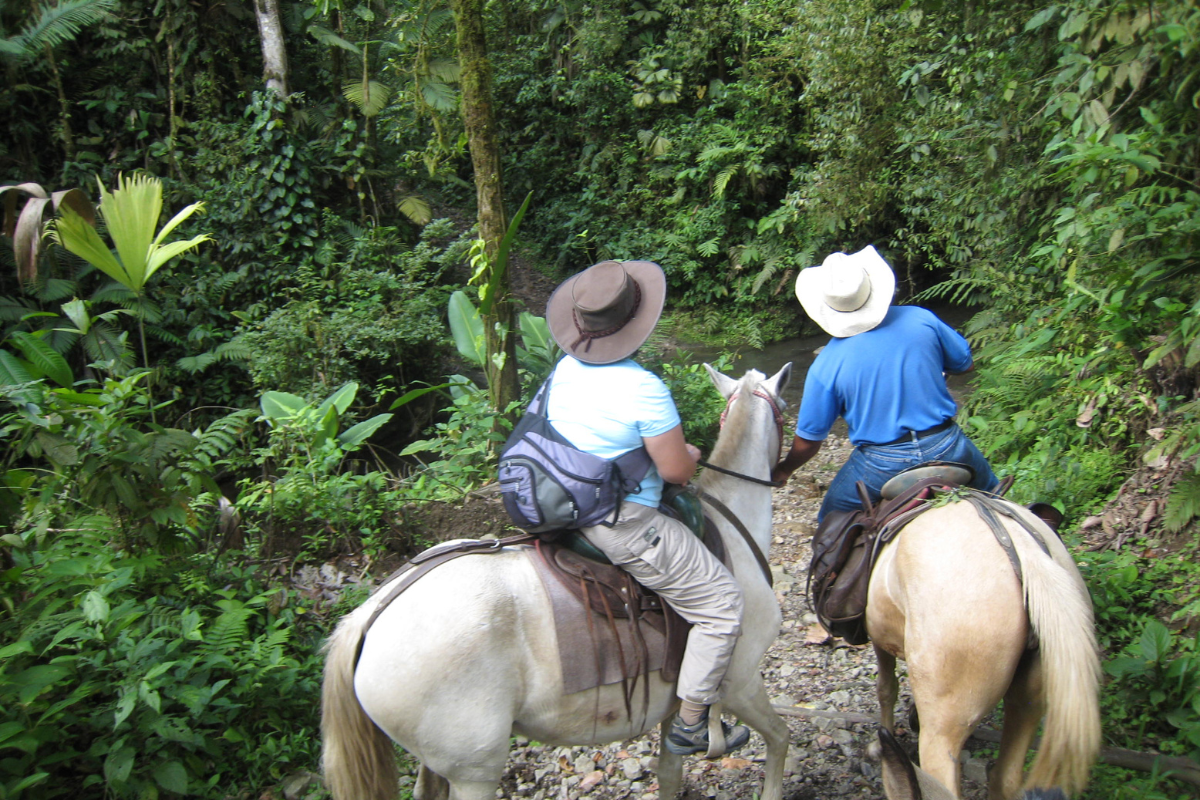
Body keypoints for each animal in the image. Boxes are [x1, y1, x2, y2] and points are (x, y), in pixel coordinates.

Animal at [868, 496, 1099, 796]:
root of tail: (1025, 553)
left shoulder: (879, 641)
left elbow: (886, 689)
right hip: (1029, 701)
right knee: (1006, 777)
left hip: (945, 726)